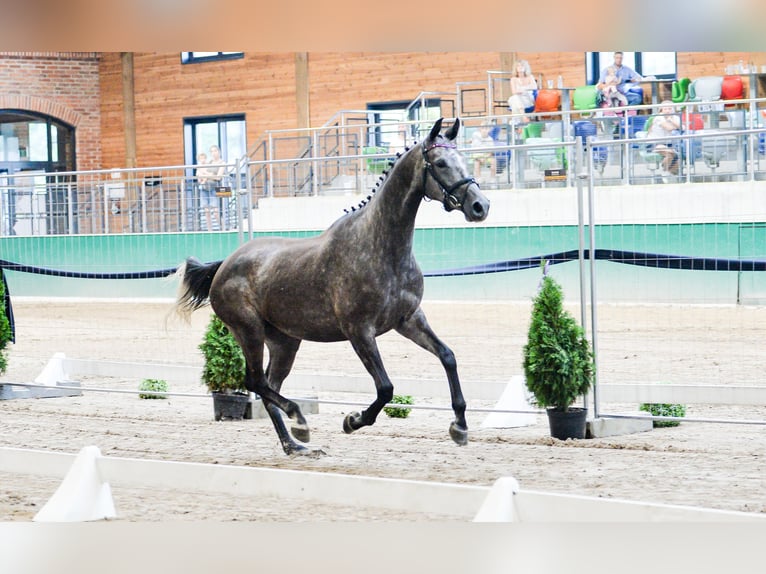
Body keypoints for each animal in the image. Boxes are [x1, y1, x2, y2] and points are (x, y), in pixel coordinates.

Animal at [174, 117, 490, 456]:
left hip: (284, 341)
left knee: (269, 385)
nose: (480, 206)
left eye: (463, 159)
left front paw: (459, 426)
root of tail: (224, 265)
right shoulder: (359, 330)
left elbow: (447, 356)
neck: (381, 246)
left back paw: (295, 445)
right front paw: (352, 420)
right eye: (441, 163)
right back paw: (299, 421)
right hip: (249, 331)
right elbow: (386, 388)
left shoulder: (408, 319)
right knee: (256, 382)